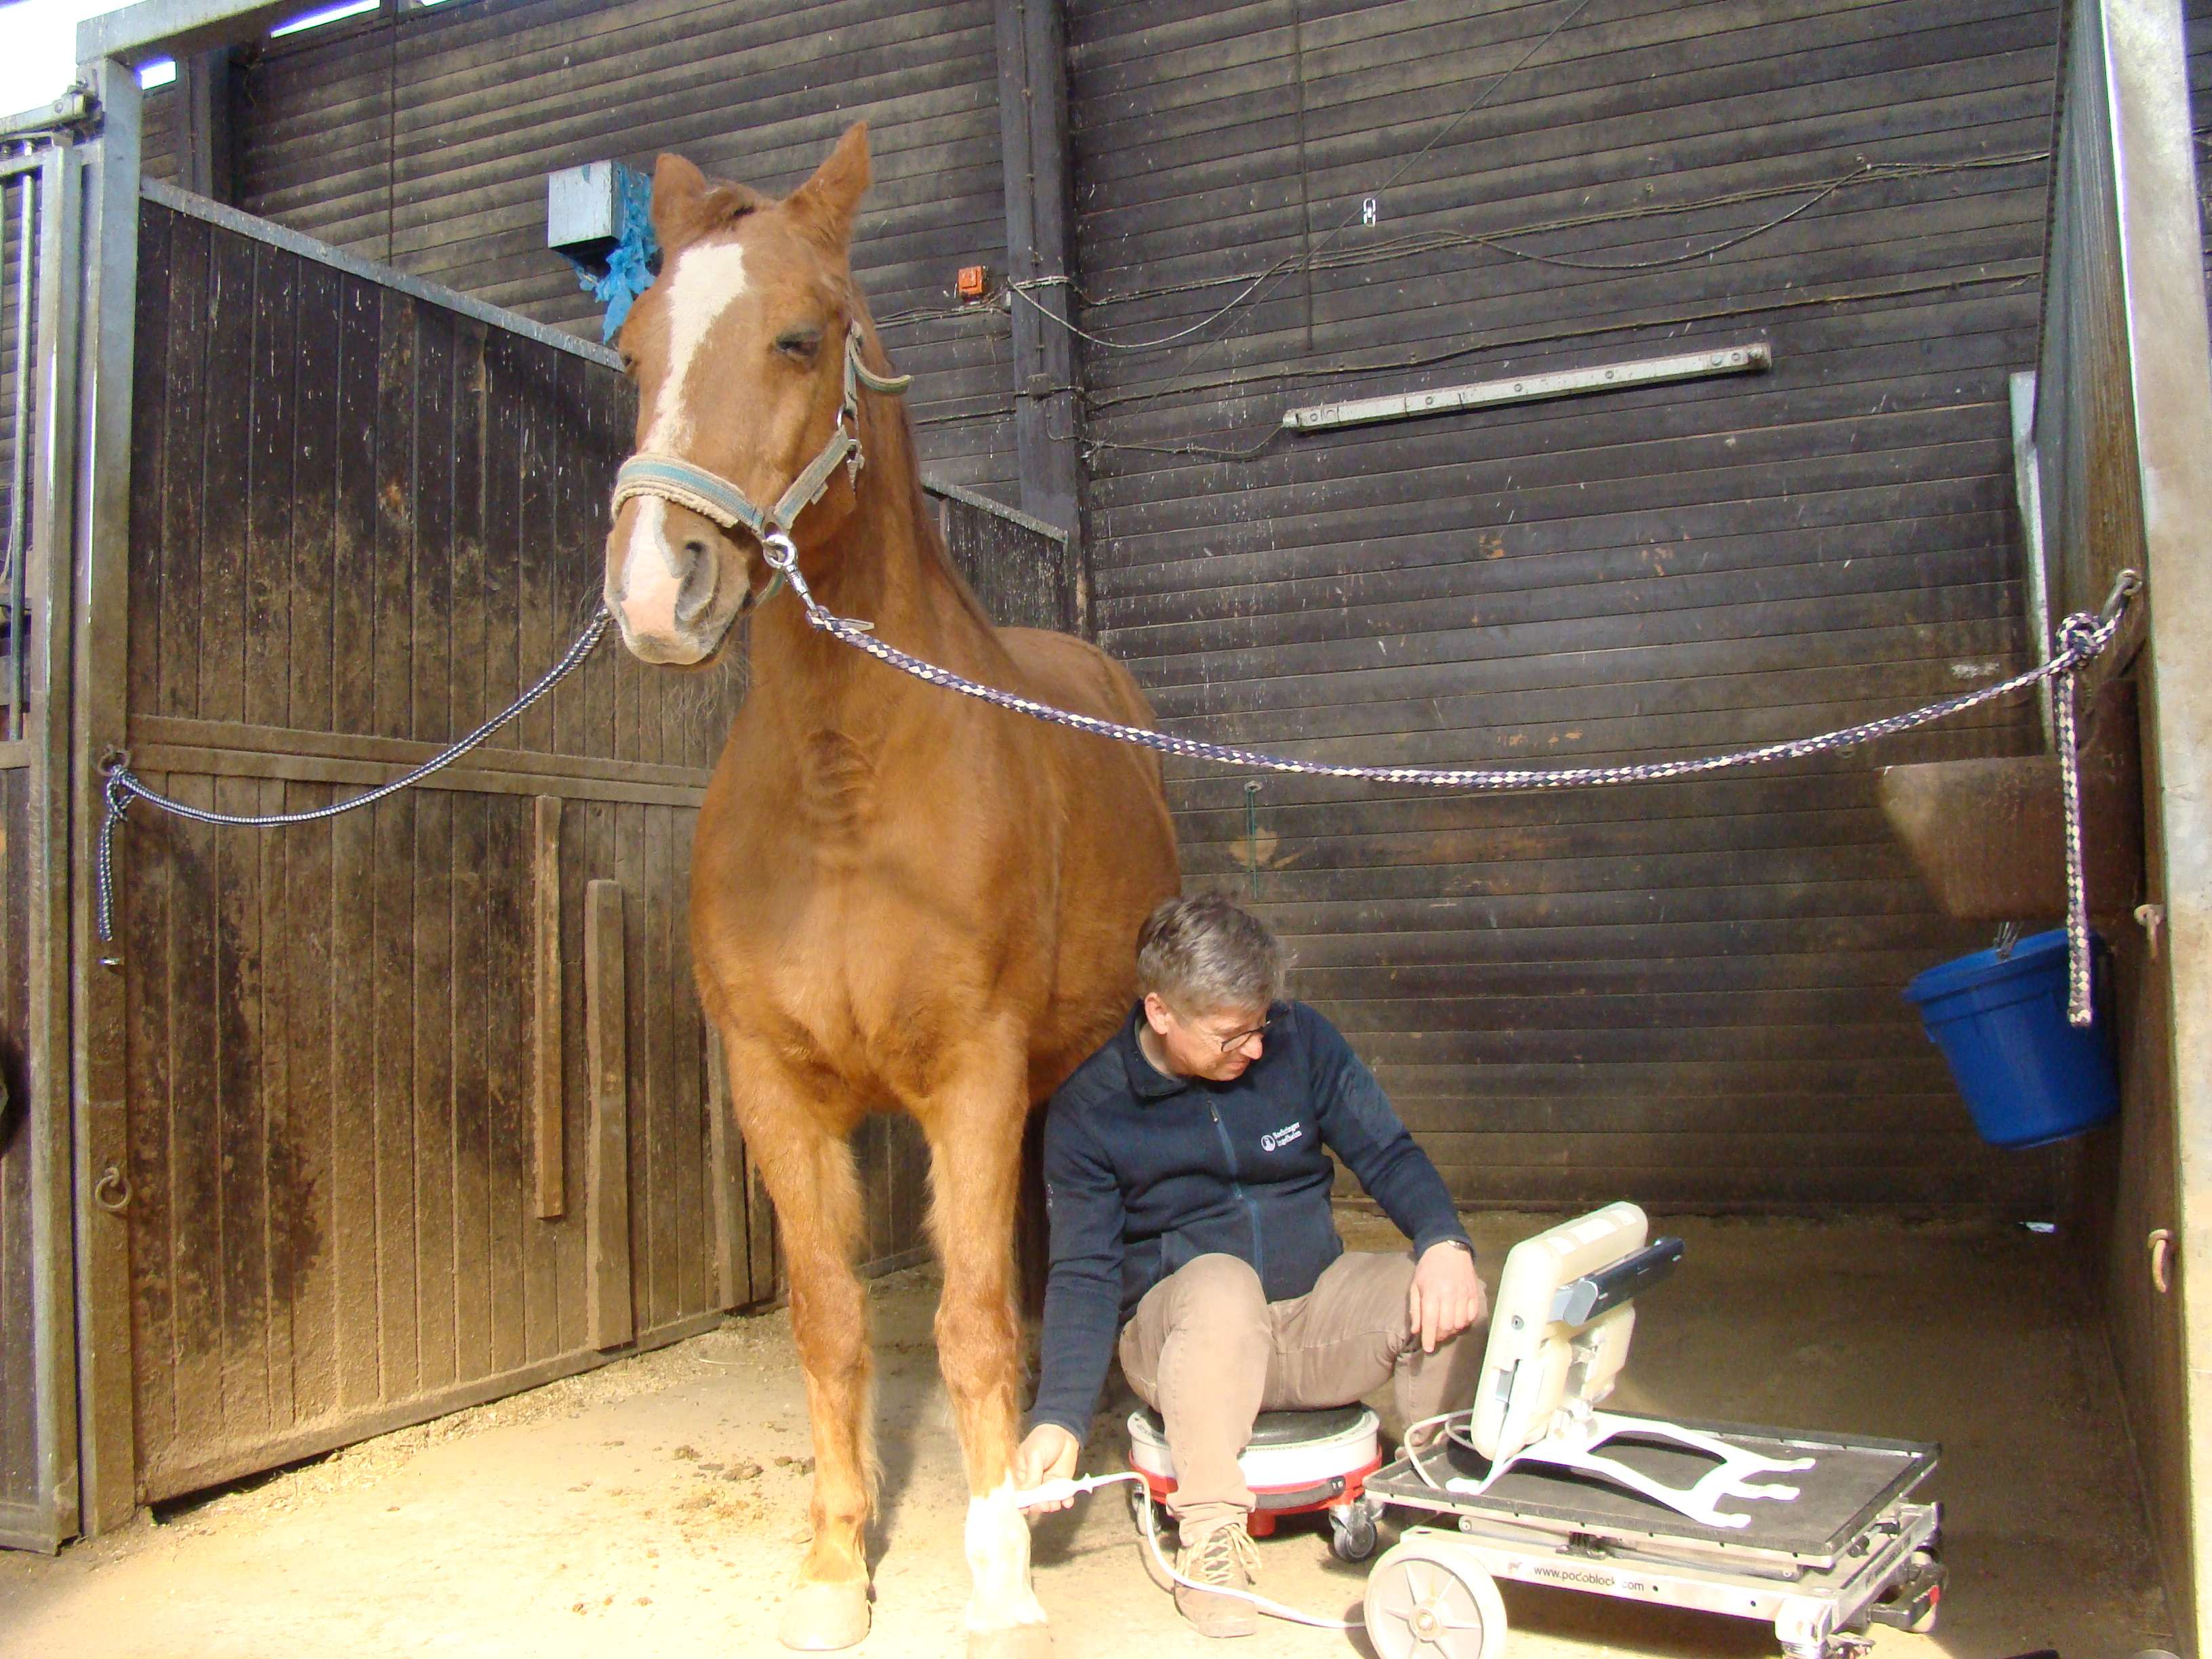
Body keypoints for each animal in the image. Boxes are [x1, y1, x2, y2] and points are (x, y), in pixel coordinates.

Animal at [600, 125, 1180, 1656]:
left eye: (800, 337)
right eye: (631, 350)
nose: (656, 592)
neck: (845, 787)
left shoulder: (970, 1074)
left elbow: (970, 1318)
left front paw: (998, 1575)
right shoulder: (777, 1087)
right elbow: (830, 1320)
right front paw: (830, 1568)